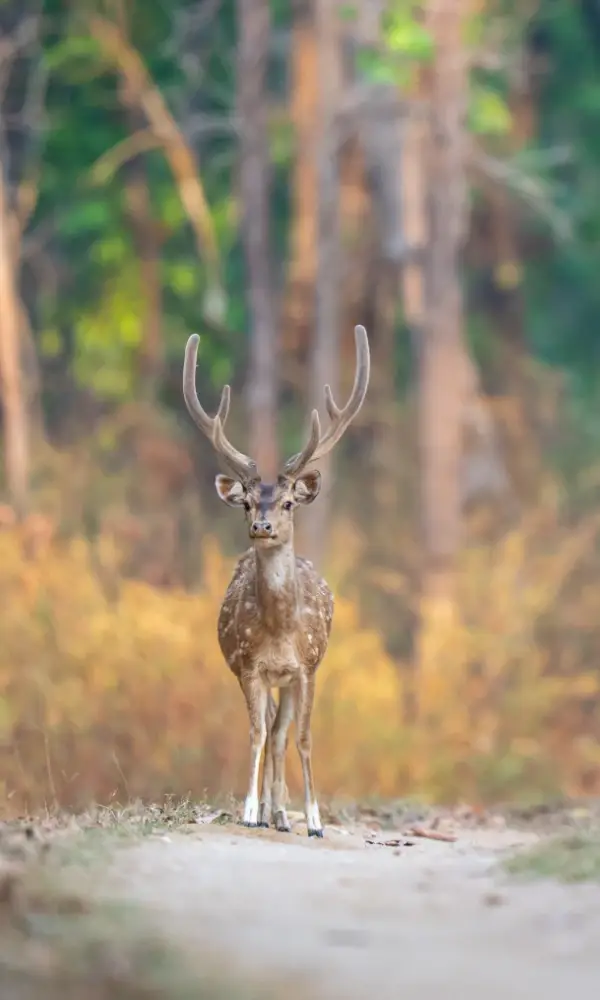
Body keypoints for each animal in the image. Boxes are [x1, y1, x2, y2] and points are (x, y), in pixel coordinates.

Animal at [182, 325, 370, 837]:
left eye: (288, 502)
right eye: (246, 502)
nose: (261, 526)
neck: (281, 632)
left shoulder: (307, 666)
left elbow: (302, 737)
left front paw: (315, 820)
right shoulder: (249, 667)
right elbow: (255, 733)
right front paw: (250, 812)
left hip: (290, 678)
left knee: (284, 733)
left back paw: (284, 815)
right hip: (261, 677)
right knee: (270, 729)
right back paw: (270, 813)